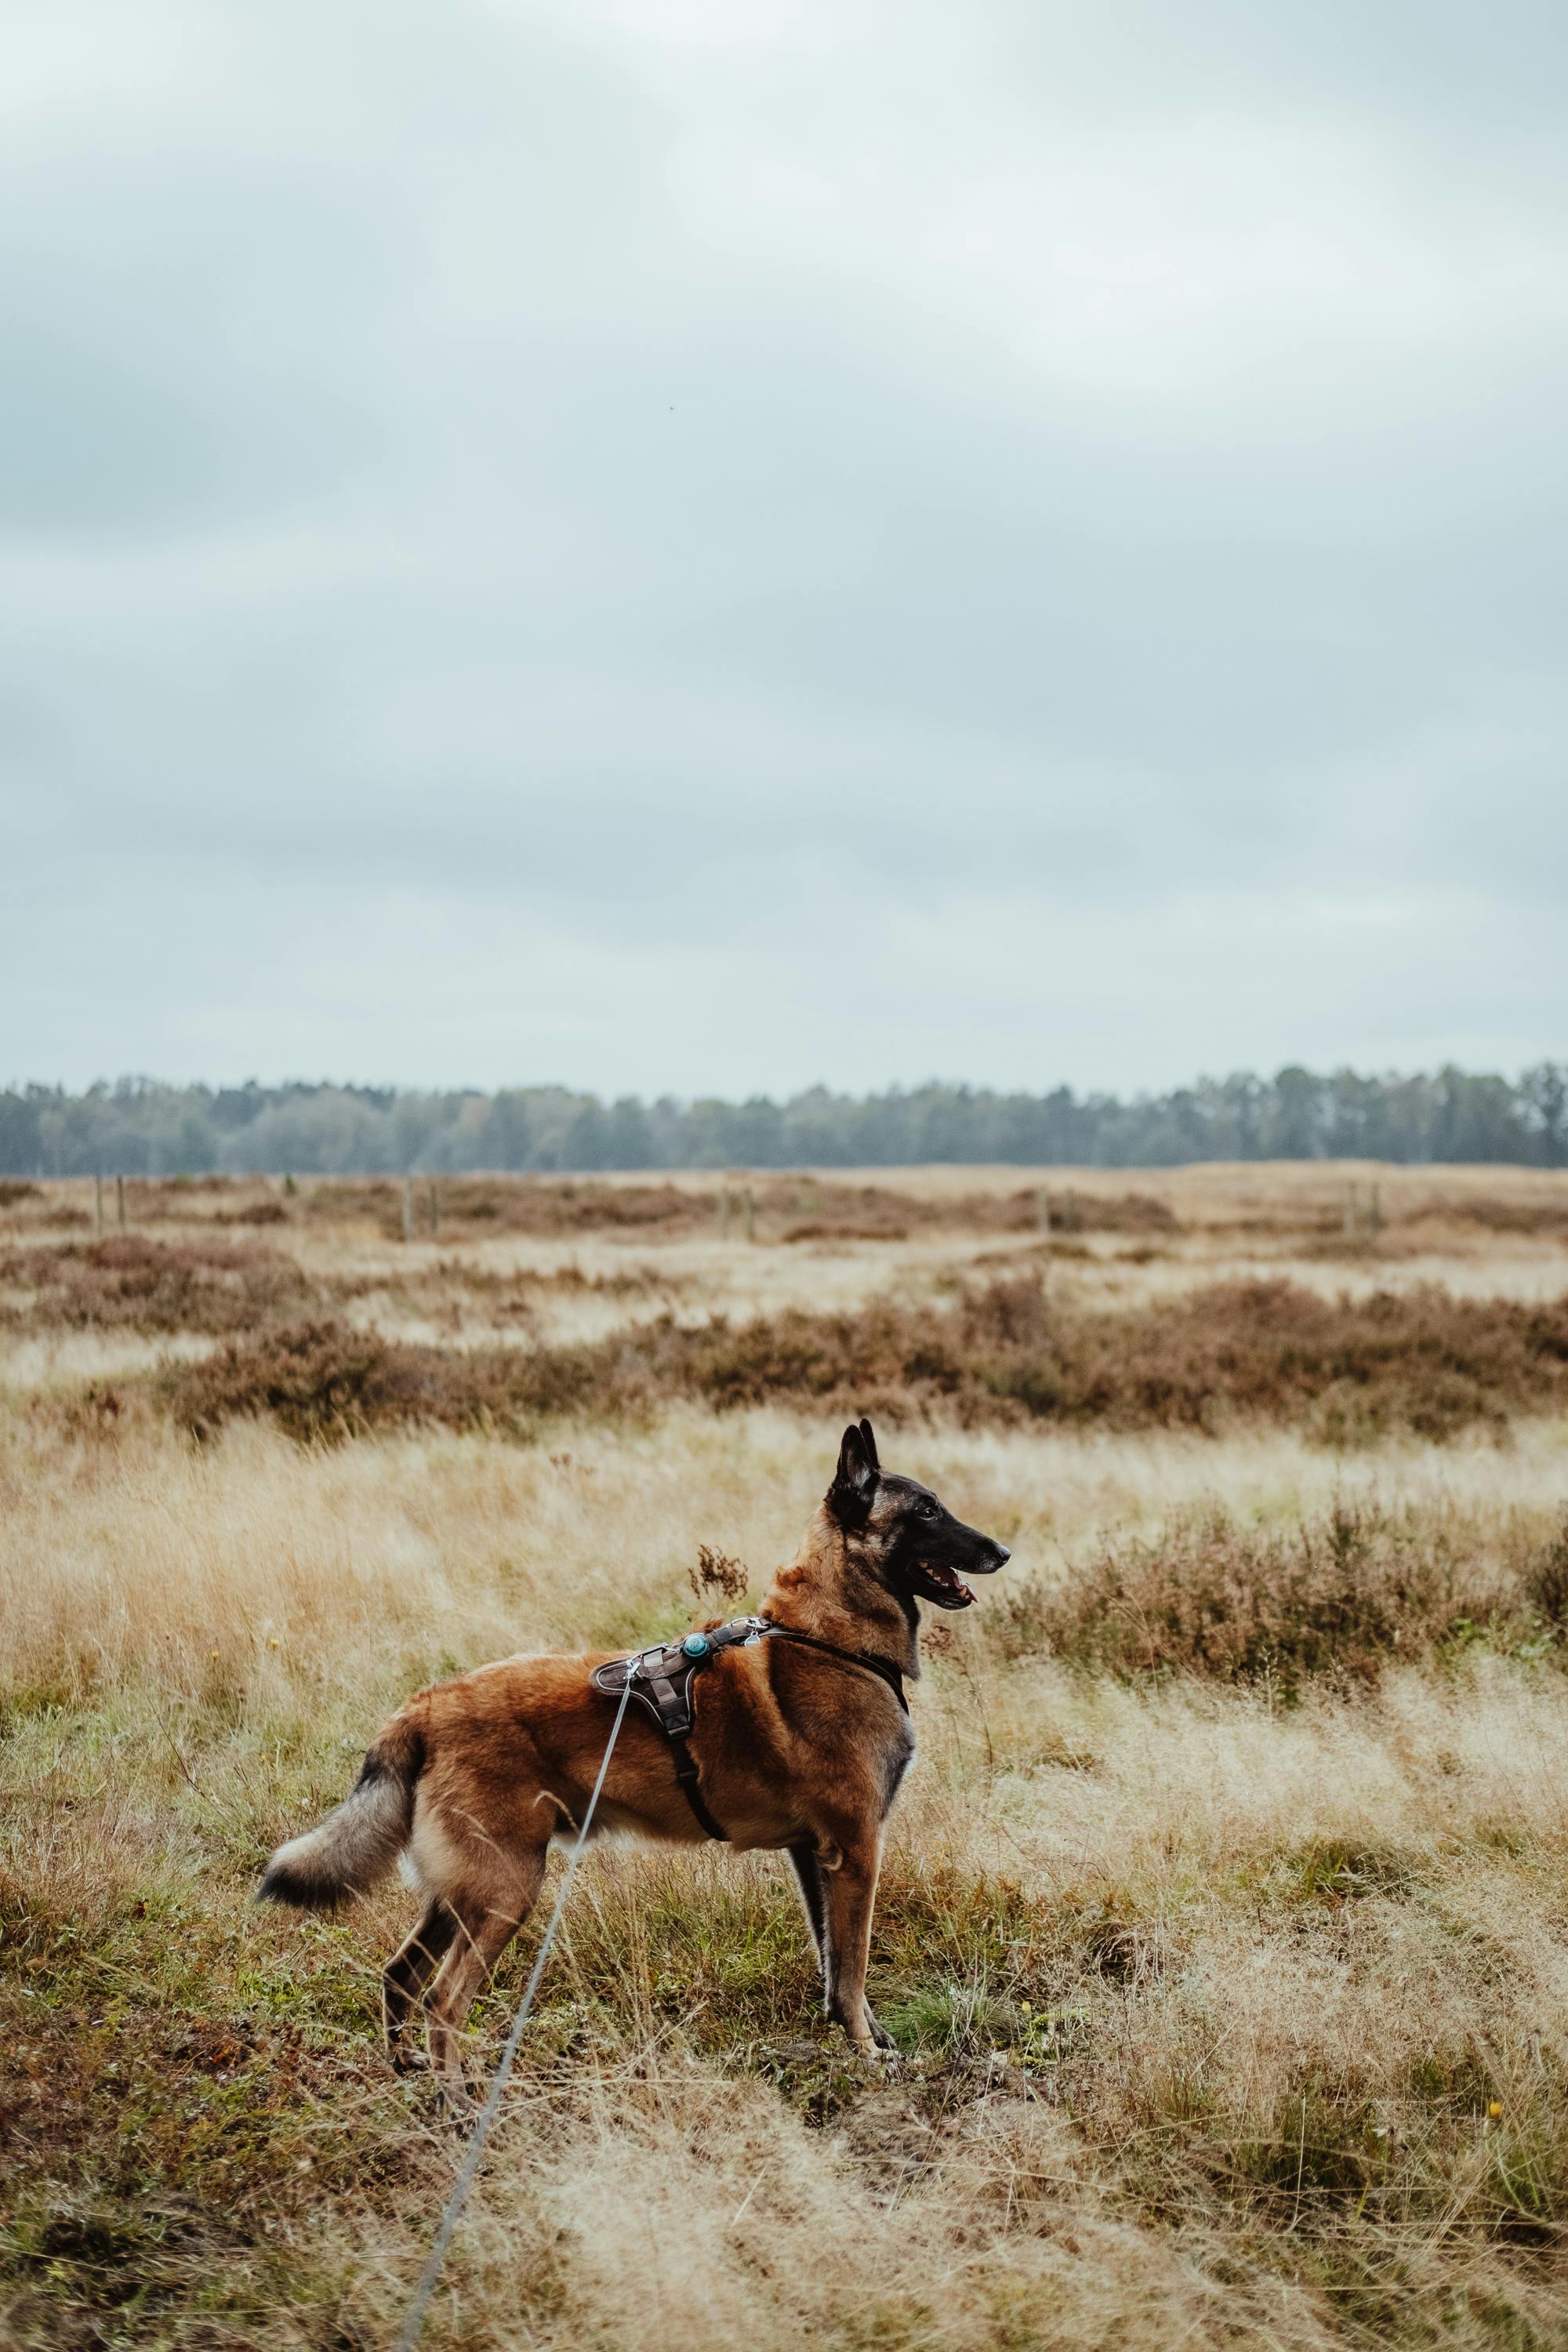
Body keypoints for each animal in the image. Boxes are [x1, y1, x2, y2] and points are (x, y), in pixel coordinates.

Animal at [263, 1421, 1011, 2089]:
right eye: (926, 1511)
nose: (1003, 1551)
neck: (826, 1637)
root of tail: (423, 1706)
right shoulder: (856, 1852)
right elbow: (852, 1967)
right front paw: (868, 2054)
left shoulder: (814, 1856)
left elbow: (833, 1964)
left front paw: (864, 2037)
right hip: (505, 1890)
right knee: (443, 2001)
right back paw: (457, 2104)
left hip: (464, 1893)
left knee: (400, 1976)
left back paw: (408, 2071)